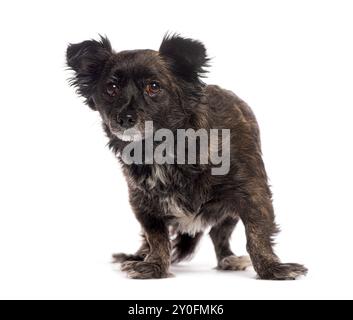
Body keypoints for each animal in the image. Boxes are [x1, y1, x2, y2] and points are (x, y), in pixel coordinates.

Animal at [66, 34, 306, 280]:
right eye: (111, 88)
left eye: (154, 87)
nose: (124, 118)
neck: (162, 147)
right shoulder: (143, 203)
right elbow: (157, 238)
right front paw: (154, 266)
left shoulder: (252, 192)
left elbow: (257, 234)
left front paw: (271, 268)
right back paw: (139, 255)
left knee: (219, 234)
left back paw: (228, 258)